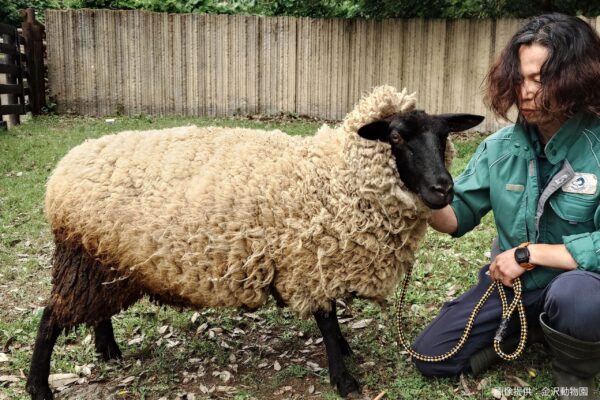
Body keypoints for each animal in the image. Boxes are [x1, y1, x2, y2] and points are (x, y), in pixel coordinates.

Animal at [25, 86, 482, 398]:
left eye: (443, 136)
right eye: (397, 137)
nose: (443, 189)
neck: (336, 177)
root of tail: (64, 169)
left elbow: (332, 319)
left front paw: (345, 352)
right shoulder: (308, 261)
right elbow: (327, 320)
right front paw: (343, 377)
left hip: (105, 257)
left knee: (93, 308)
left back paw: (108, 349)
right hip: (82, 257)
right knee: (50, 317)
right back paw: (38, 385)